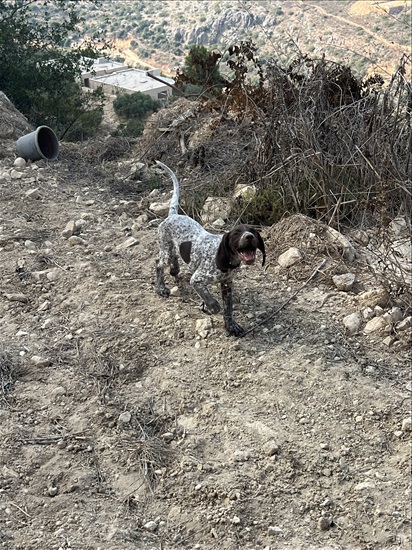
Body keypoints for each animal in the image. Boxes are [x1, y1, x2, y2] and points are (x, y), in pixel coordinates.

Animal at [155, 162, 268, 338]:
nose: (249, 237)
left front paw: (231, 325)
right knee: (159, 264)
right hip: (166, 250)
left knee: (174, 258)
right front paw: (212, 307)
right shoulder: (197, 279)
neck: (229, 260)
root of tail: (173, 215)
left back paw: (175, 270)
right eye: (237, 233)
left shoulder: (227, 284)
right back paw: (161, 288)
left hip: (173, 249)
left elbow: (228, 309)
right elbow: (209, 298)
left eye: (253, 231)